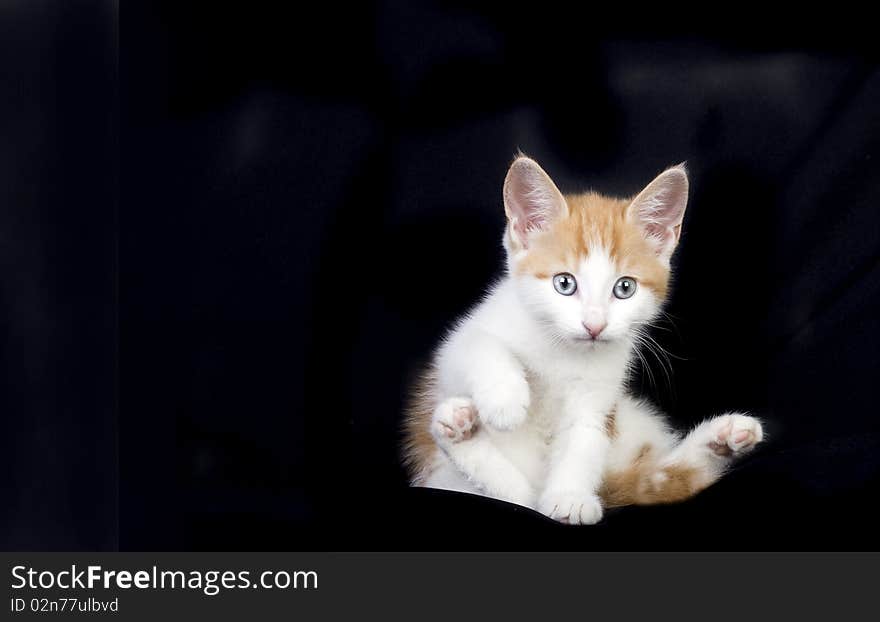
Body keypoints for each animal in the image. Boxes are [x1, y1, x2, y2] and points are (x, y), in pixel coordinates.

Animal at [400, 157, 764, 528]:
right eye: (564, 283)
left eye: (625, 288)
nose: (594, 325)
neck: (563, 351)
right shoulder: (461, 343)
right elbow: (480, 345)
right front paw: (505, 399)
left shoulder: (598, 396)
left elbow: (584, 438)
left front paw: (569, 497)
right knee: (513, 493)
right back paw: (460, 429)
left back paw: (724, 438)